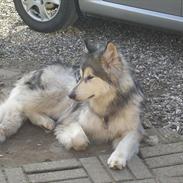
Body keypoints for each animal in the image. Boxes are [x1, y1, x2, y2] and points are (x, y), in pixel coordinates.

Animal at [0, 40, 144, 169]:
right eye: (79, 77)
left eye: (90, 77)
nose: (71, 95)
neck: (106, 109)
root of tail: (37, 70)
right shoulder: (69, 120)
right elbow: (79, 138)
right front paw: (73, 141)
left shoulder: (134, 130)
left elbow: (124, 144)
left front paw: (117, 158)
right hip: (53, 94)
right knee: (18, 106)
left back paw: (45, 121)